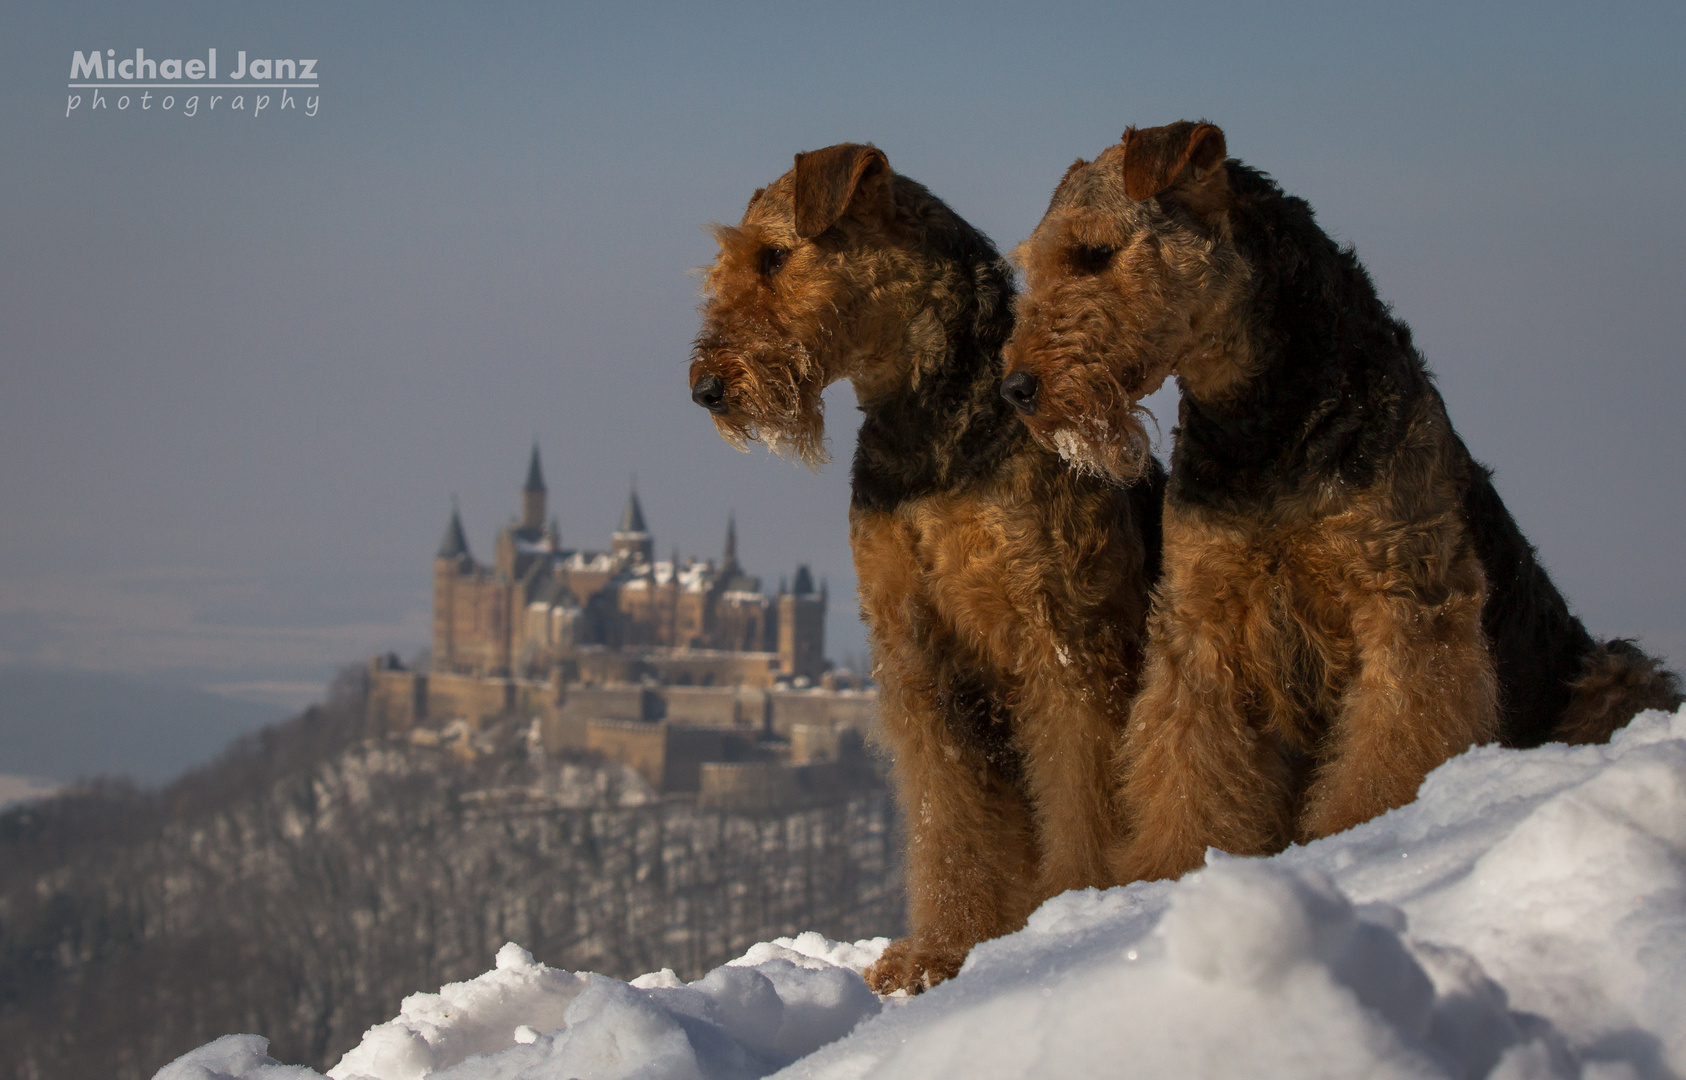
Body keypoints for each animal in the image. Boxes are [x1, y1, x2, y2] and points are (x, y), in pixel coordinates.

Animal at [691, 144, 1166, 997]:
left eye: (775, 256)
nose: (707, 387)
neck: (927, 431)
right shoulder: (919, 653)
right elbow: (948, 819)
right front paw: (936, 955)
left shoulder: (1065, 642)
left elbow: (1082, 795)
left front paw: (1075, 915)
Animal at [991, 122, 1679, 882]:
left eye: (1095, 252)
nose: (1016, 388)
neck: (1262, 422)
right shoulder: (1202, 623)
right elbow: (1186, 768)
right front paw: (1165, 872)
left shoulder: (1405, 599)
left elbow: (1393, 744)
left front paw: (1367, 834)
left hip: (1617, 674)